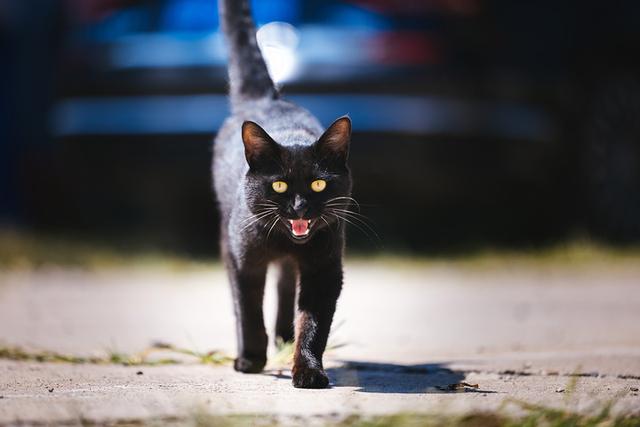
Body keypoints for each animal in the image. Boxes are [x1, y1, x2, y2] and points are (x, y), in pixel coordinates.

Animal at [214, 0, 352, 390]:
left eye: (319, 184)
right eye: (279, 185)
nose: (300, 206)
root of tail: (269, 98)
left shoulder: (325, 268)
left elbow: (314, 323)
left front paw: (308, 370)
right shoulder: (245, 261)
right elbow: (248, 310)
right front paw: (250, 359)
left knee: (287, 284)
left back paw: (285, 338)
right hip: (227, 241)